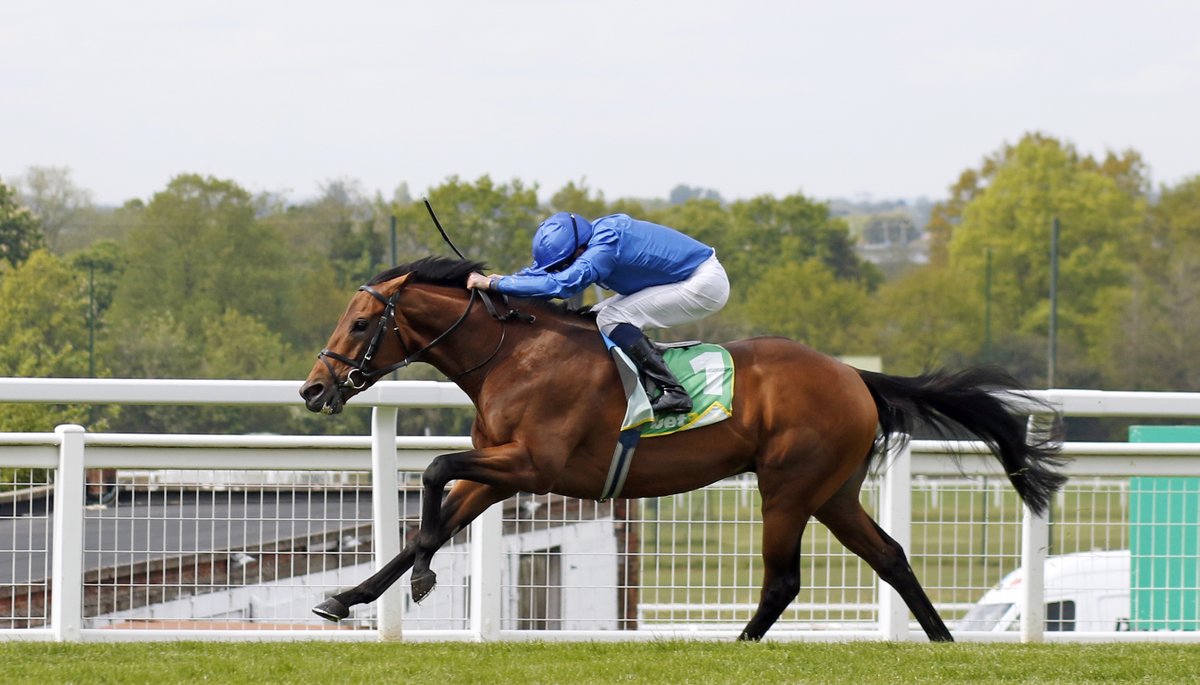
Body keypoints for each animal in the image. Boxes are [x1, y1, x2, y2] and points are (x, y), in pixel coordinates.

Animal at [297, 256, 1060, 643]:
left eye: (360, 323)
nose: (313, 388)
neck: (515, 355)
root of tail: (854, 375)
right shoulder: (501, 471)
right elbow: (423, 522)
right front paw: (348, 596)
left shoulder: (533, 463)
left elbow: (432, 470)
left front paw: (424, 575)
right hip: (833, 493)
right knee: (892, 555)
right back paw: (942, 640)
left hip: (787, 487)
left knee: (784, 580)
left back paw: (741, 645)